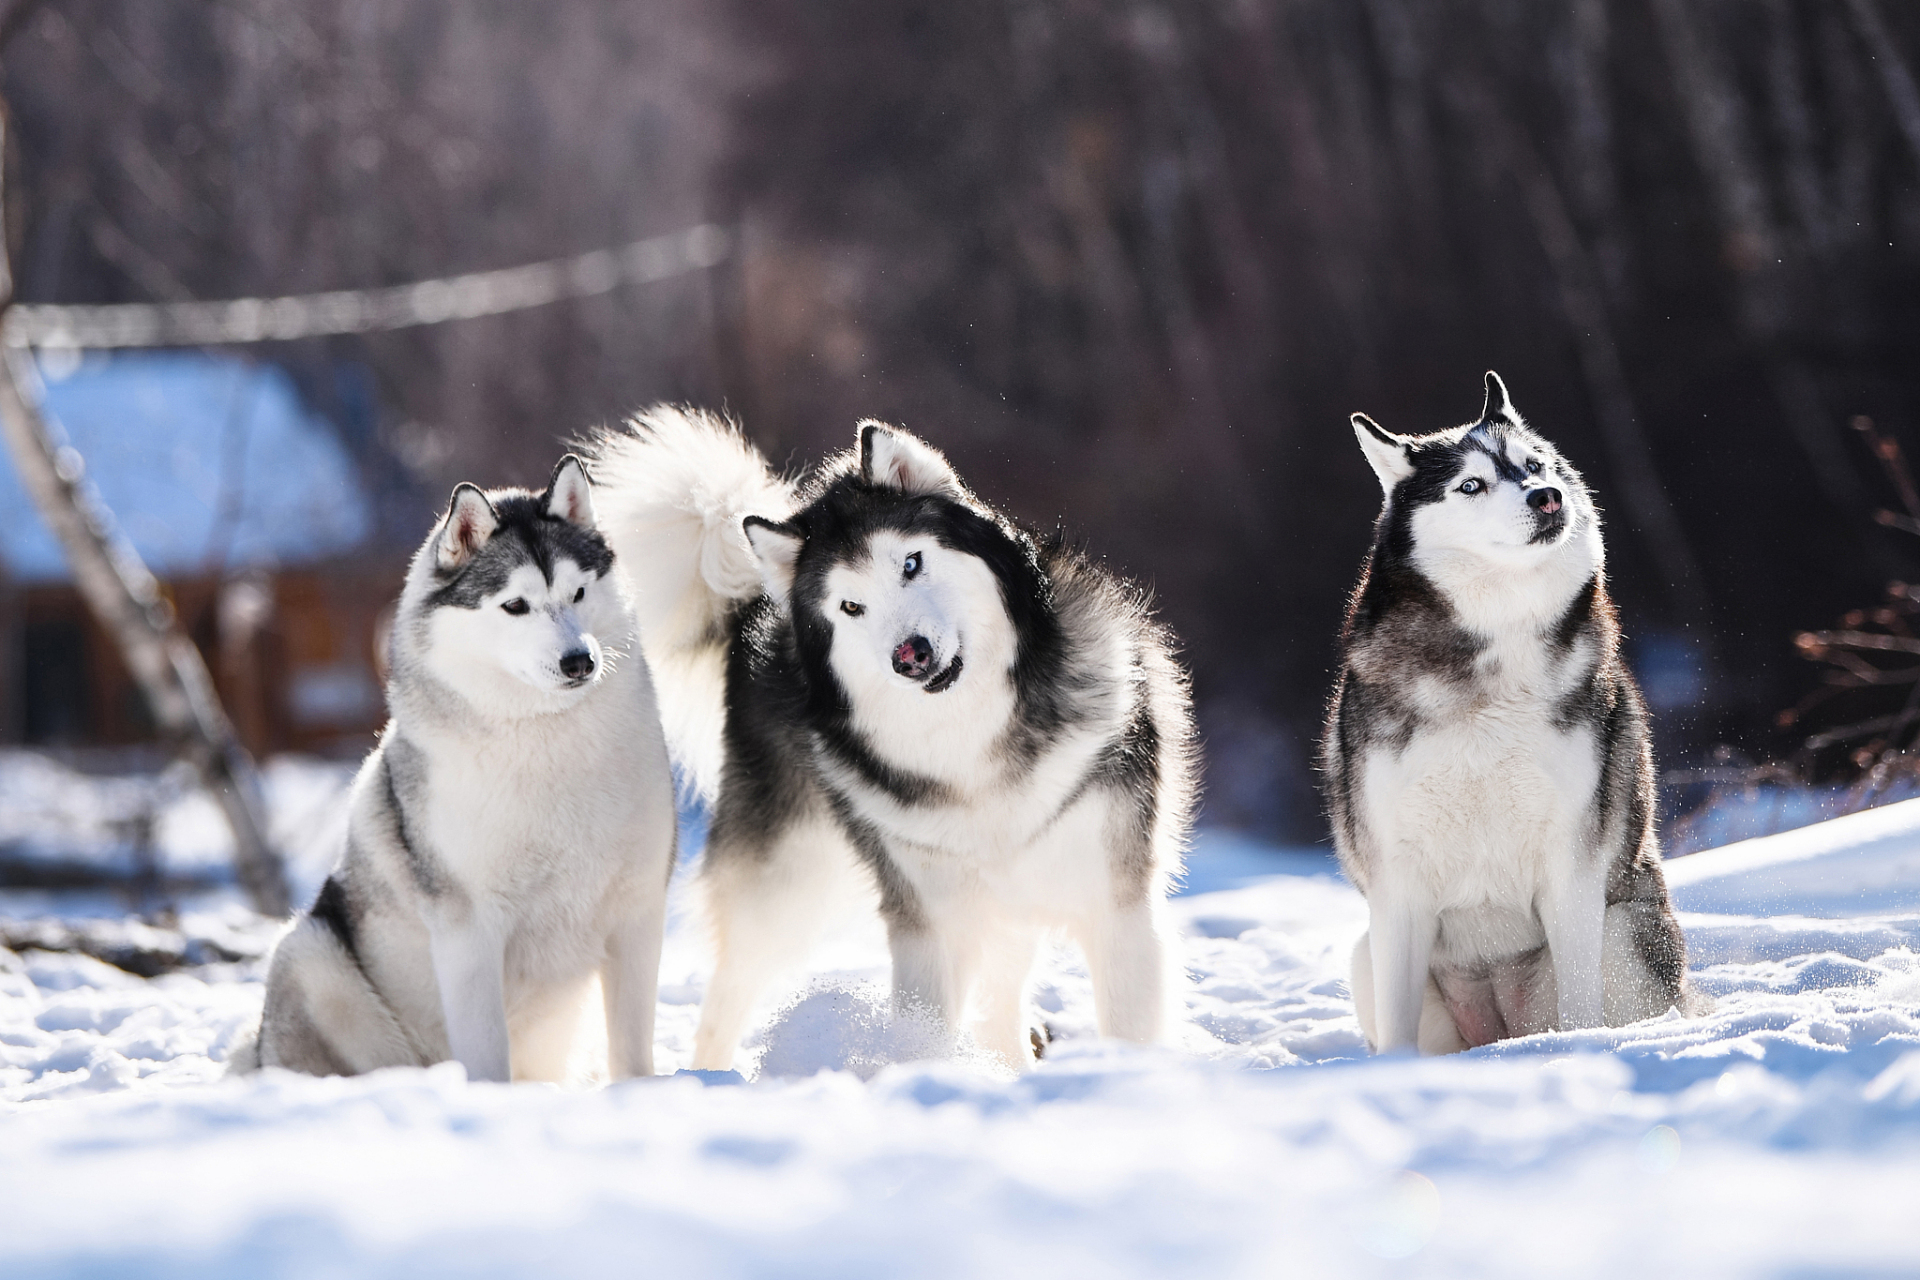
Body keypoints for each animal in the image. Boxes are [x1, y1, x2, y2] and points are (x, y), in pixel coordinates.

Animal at [233, 460, 675, 1082]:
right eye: (515, 606)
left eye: (579, 593)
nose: (579, 661)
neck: (546, 735)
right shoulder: (469, 929)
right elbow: (487, 1051)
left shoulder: (638, 910)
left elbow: (632, 1051)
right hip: (312, 956)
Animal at [583, 410, 1190, 1074]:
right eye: (851, 606)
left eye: (911, 564)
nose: (911, 655)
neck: (971, 739)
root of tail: (758, 606)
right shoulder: (928, 924)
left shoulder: (1117, 908)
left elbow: (1128, 1028)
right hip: (786, 886)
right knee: (727, 998)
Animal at [1320, 370, 1712, 1051]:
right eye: (1471, 484)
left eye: (1533, 465)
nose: (1548, 497)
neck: (1494, 660)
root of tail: (1497, 1024)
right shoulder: (1397, 880)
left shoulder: (1573, 863)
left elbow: (1580, 1004)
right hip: (1366, 954)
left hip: (1624, 936)